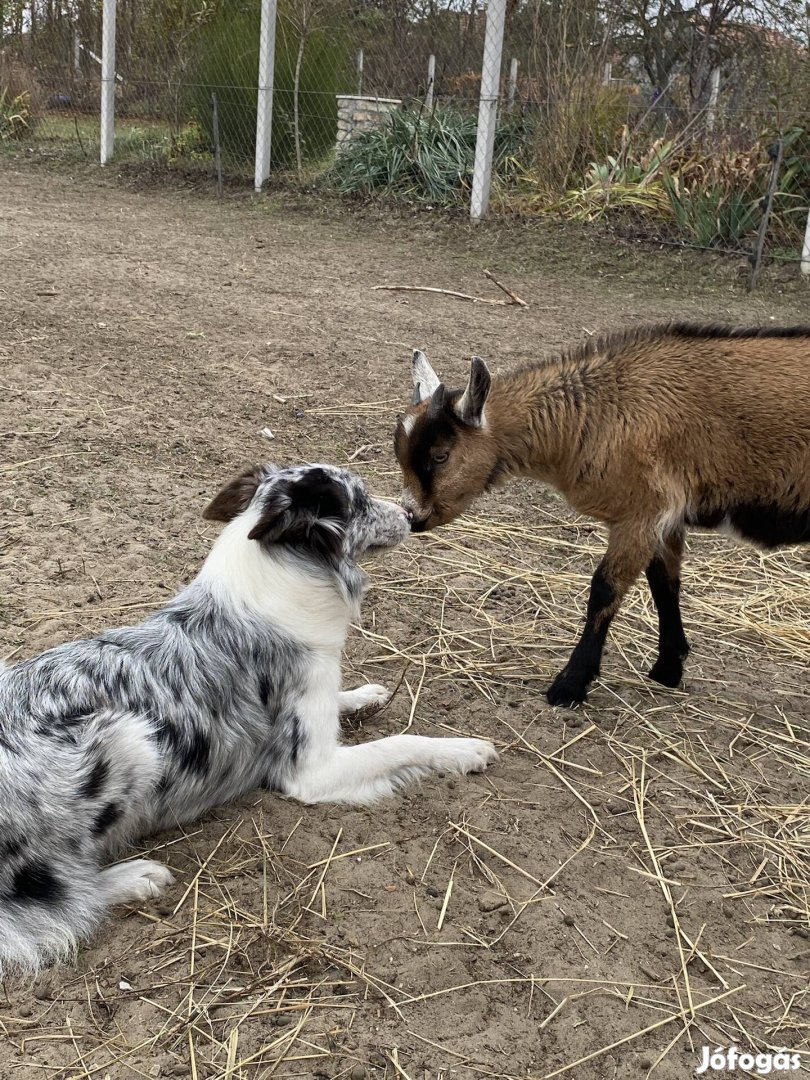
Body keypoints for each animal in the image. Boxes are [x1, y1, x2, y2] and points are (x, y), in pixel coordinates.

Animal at [0, 468, 498, 976]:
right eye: (358, 500)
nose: (412, 515)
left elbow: (346, 701)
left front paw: (365, 695)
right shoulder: (311, 771)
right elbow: (402, 743)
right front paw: (466, 749)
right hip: (129, 739)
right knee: (59, 900)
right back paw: (134, 877)